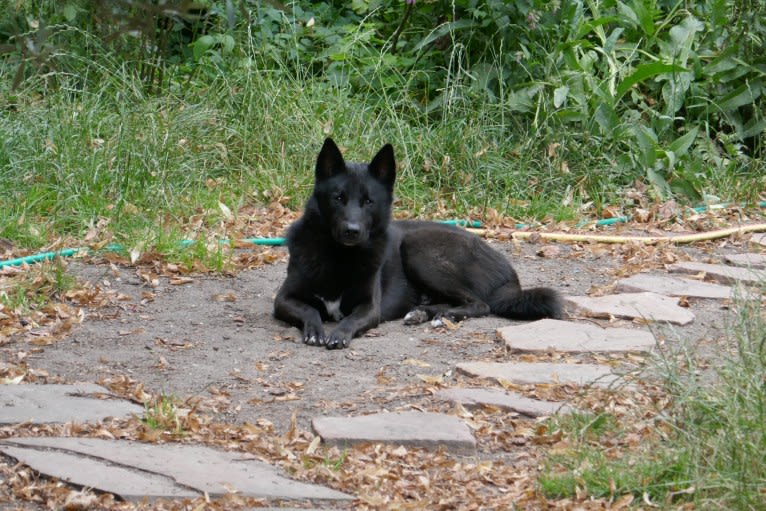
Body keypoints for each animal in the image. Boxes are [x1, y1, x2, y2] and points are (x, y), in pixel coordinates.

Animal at [276, 138, 564, 350]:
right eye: (338, 198)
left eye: (368, 201)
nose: (352, 231)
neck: (339, 256)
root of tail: (510, 274)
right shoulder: (282, 300)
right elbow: (309, 310)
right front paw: (315, 330)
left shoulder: (370, 308)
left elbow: (351, 319)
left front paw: (339, 334)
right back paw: (422, 313)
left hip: (418, 248)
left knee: (481, 303)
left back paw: (443, 316)